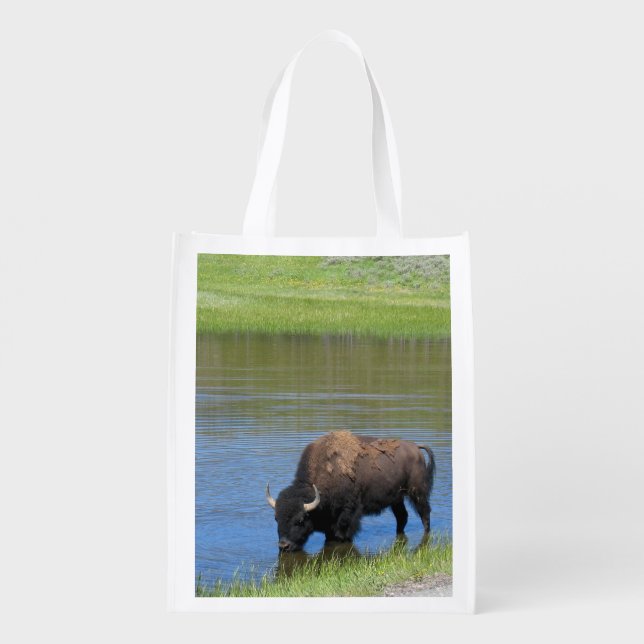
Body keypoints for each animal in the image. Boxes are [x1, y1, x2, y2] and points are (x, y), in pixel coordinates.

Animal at [265, 430, 436, 552]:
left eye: (300, 520)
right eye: (276, 518)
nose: (284, 546)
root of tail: (416, 448)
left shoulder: (348, 513)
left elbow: (343, 533)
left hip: (417, 493)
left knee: (424, 513)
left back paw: (427, 532)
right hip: (396, 499)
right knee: (402, 517)